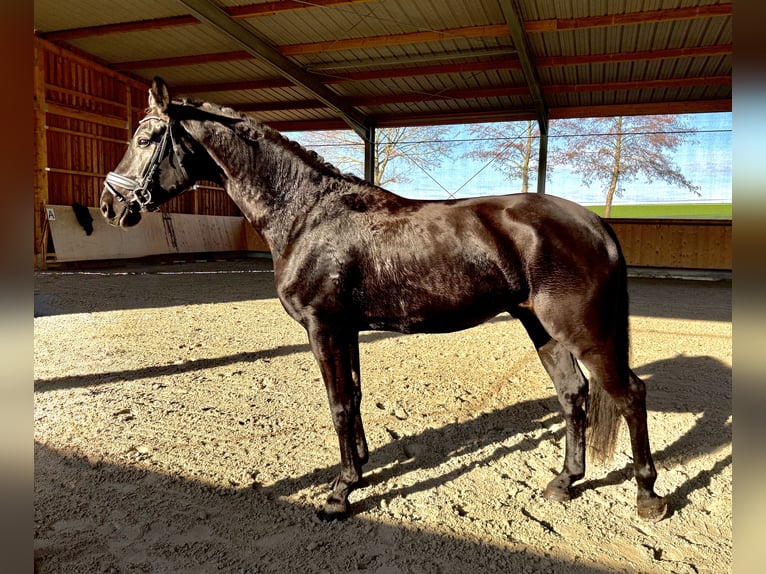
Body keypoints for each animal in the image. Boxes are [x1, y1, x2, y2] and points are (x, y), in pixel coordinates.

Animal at [100, 77, 667, 522]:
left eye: (146, 137)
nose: (109, 205)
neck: (307, 214)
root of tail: (594, 223)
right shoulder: (345, 328)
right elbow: (351, 396)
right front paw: (360, 472)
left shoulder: (324, 326)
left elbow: (337, 403)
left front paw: (339, 494)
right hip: (542, 328)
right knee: (574, 395)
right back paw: (565, 482)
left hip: (585, 331)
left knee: (629, 394)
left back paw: (648, 496)